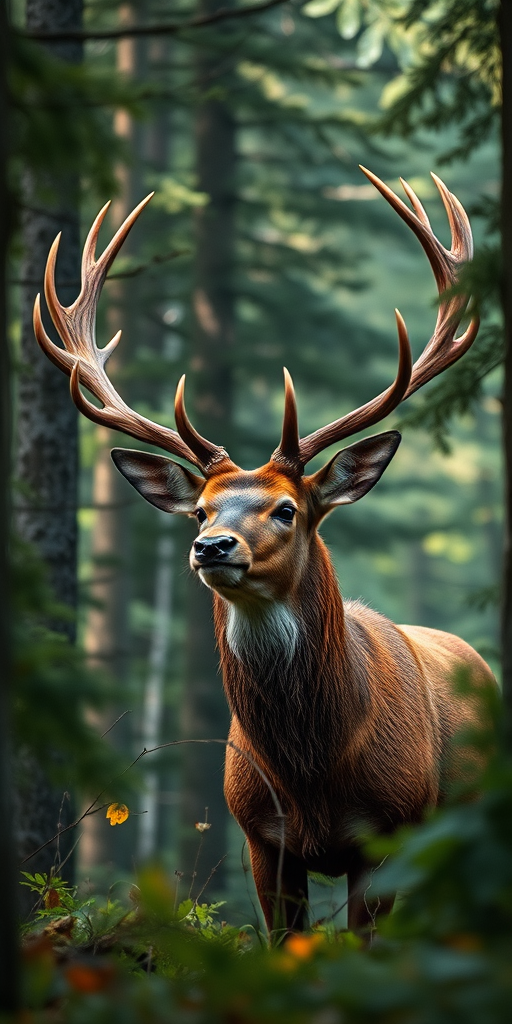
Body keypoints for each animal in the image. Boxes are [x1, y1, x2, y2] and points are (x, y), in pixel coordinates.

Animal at [34, 167, 495, 935]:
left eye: (286, 509)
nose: (211, 546)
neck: (312, 774)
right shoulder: (260, 838)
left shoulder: (392, 832)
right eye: (200, 509)